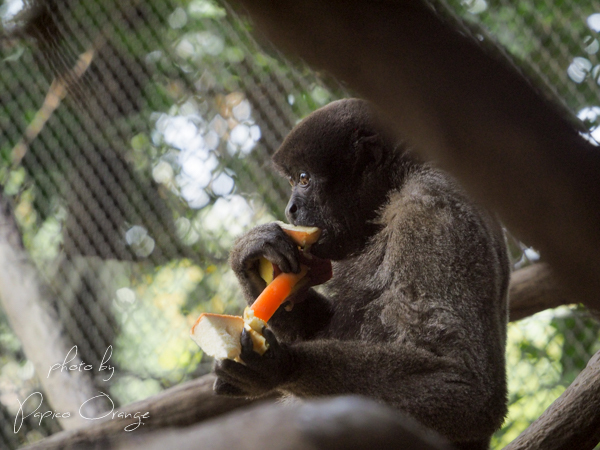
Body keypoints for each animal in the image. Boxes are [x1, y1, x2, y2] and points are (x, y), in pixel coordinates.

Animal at [213, 98, 508, 450]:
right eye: (294, 181)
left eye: (303, 178)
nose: (290, 210)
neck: (396, 184)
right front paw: (249, 257)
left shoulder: (429, 213)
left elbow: (467, 385)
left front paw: (279, 365)